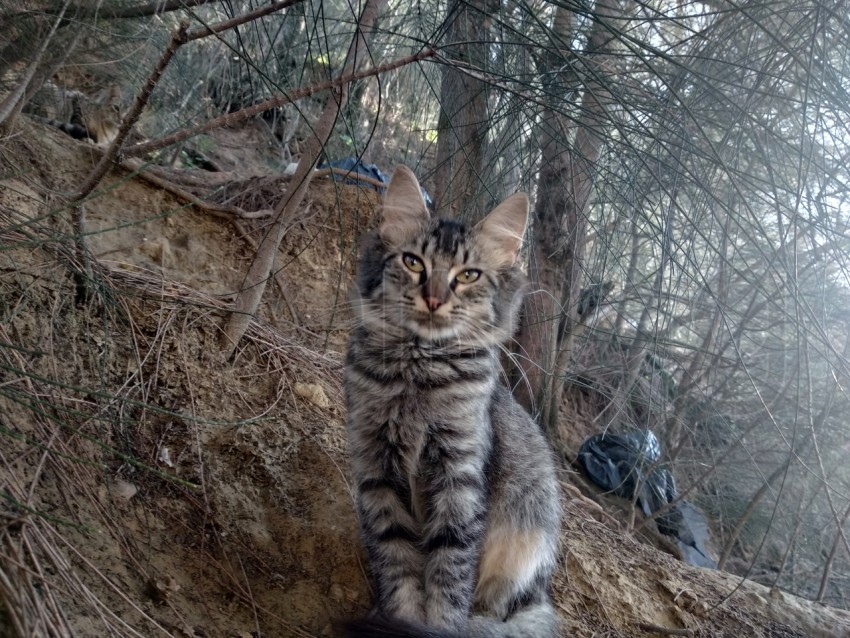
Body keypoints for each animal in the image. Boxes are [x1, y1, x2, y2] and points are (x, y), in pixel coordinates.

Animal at [342, 166, 560, 638]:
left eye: (468, 275)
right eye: (412, 263)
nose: (435, 298)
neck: (419, 369)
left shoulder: (459, 478)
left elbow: (449, 572)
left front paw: (438, 627)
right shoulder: (377, 473)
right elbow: (398, 566)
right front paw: (401, 619)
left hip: (525, 538)